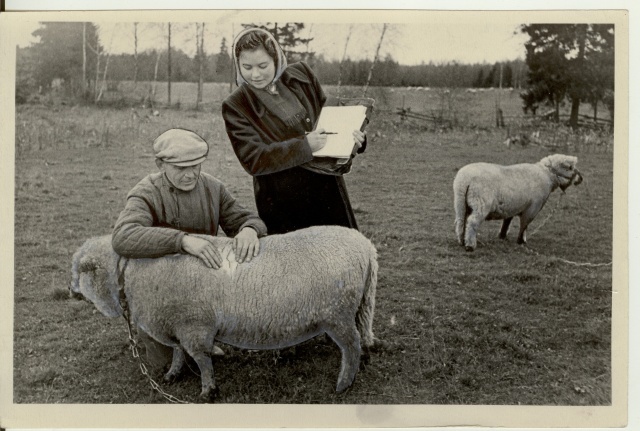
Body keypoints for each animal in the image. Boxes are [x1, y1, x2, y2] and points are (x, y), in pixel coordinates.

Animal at [70, 226, 378, 402]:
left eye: (79, 269)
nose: (71, 292)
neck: (128, 273)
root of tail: (366, 246)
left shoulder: (193, 324)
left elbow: (200, 358)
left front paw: (208, 391)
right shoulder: (177, 323)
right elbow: (179, 352)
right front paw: (173, 374)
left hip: (337, 313)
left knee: (351, 346)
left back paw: (343, 384)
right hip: (357, 307)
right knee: (361, 338)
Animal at [452, 154, 584, 251]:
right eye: (570, 167)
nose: (581, 179)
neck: (547, 175)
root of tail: (465, 180)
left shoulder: (511, 207)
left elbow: (507, 222)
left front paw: (502, 236)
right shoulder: (532, 208)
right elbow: (525, 224)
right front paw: (521, 241)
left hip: (460, 203)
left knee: (461, 222)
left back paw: (461, 241)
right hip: (481, 203)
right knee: (472, 222)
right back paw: (470, 245)